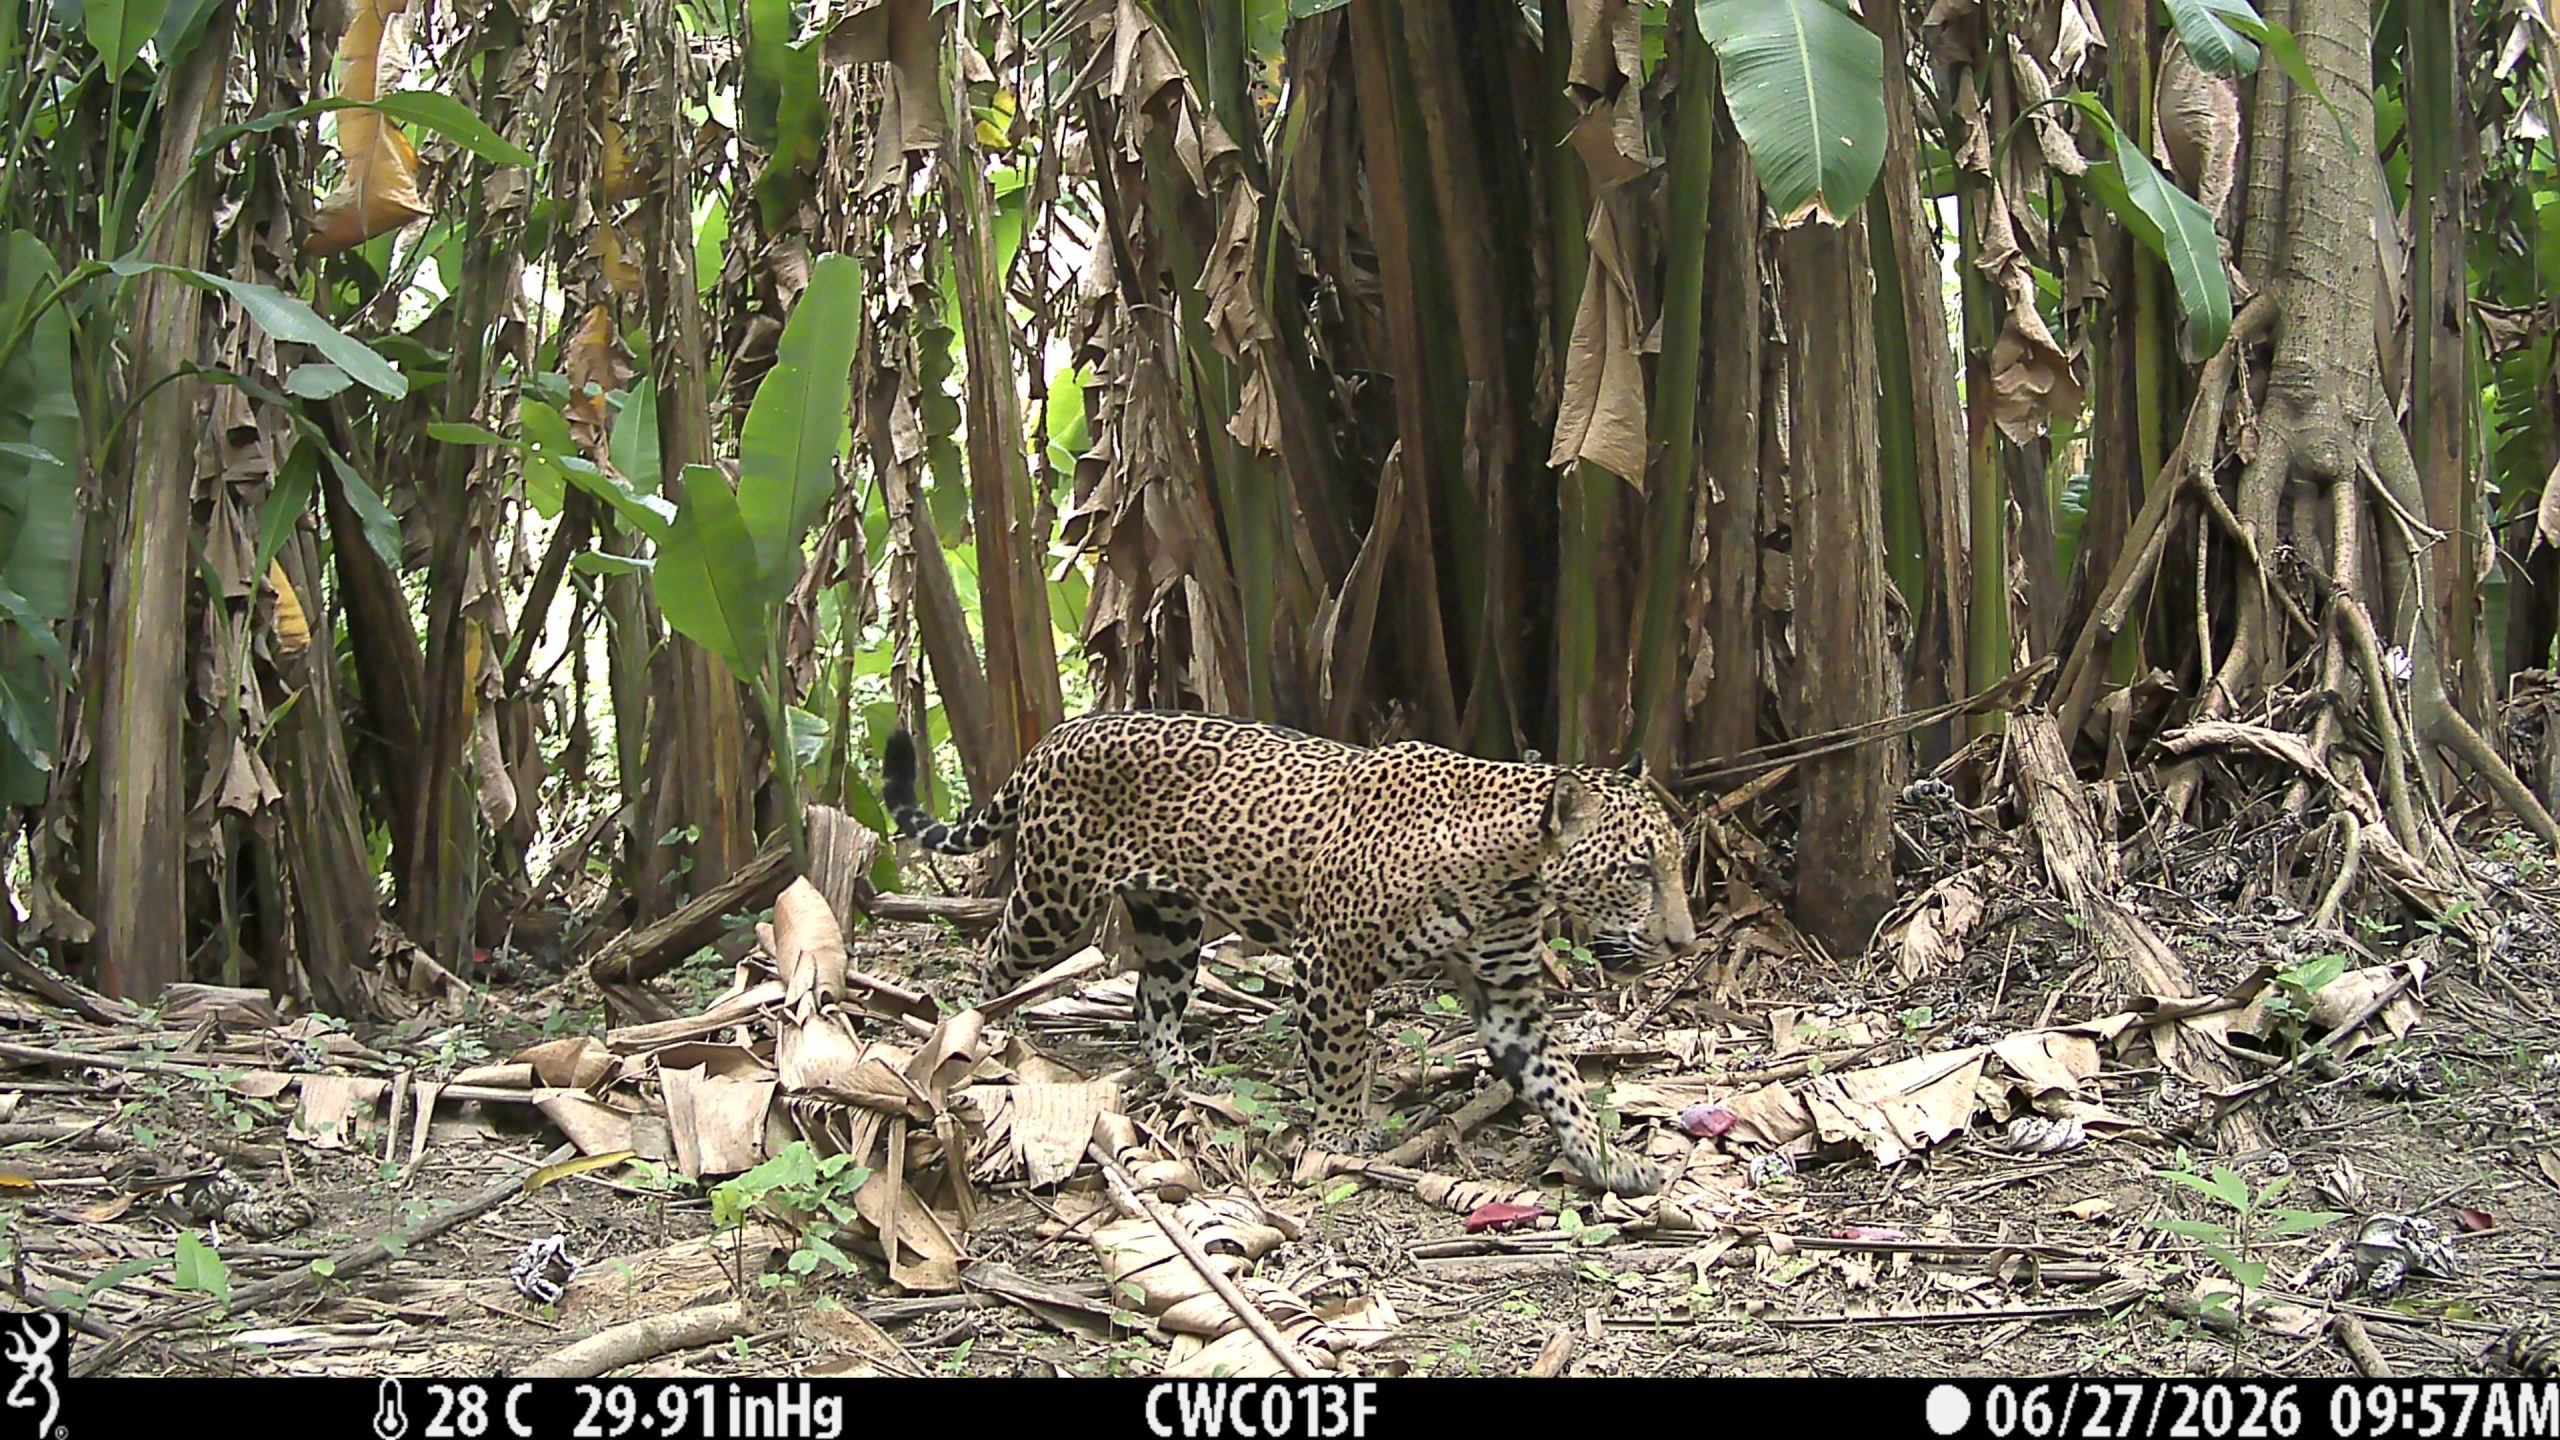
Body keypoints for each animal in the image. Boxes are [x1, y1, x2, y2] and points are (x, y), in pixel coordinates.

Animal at [880, 709, 1696, 1197]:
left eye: (1676, 863)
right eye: (1637, 871)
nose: (1684, 942)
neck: (1509, 874)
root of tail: (1059, 732)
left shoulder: (1509, 995)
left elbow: (1559, 1082)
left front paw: (1604, 1157)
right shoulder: (1328, 963)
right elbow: (1340, 1059)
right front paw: (1337, 1137)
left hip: (1172, 921)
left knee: (1152, 1001)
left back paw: (1185, 1077)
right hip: (1054, 899)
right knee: (994, 955)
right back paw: (983, 1033)